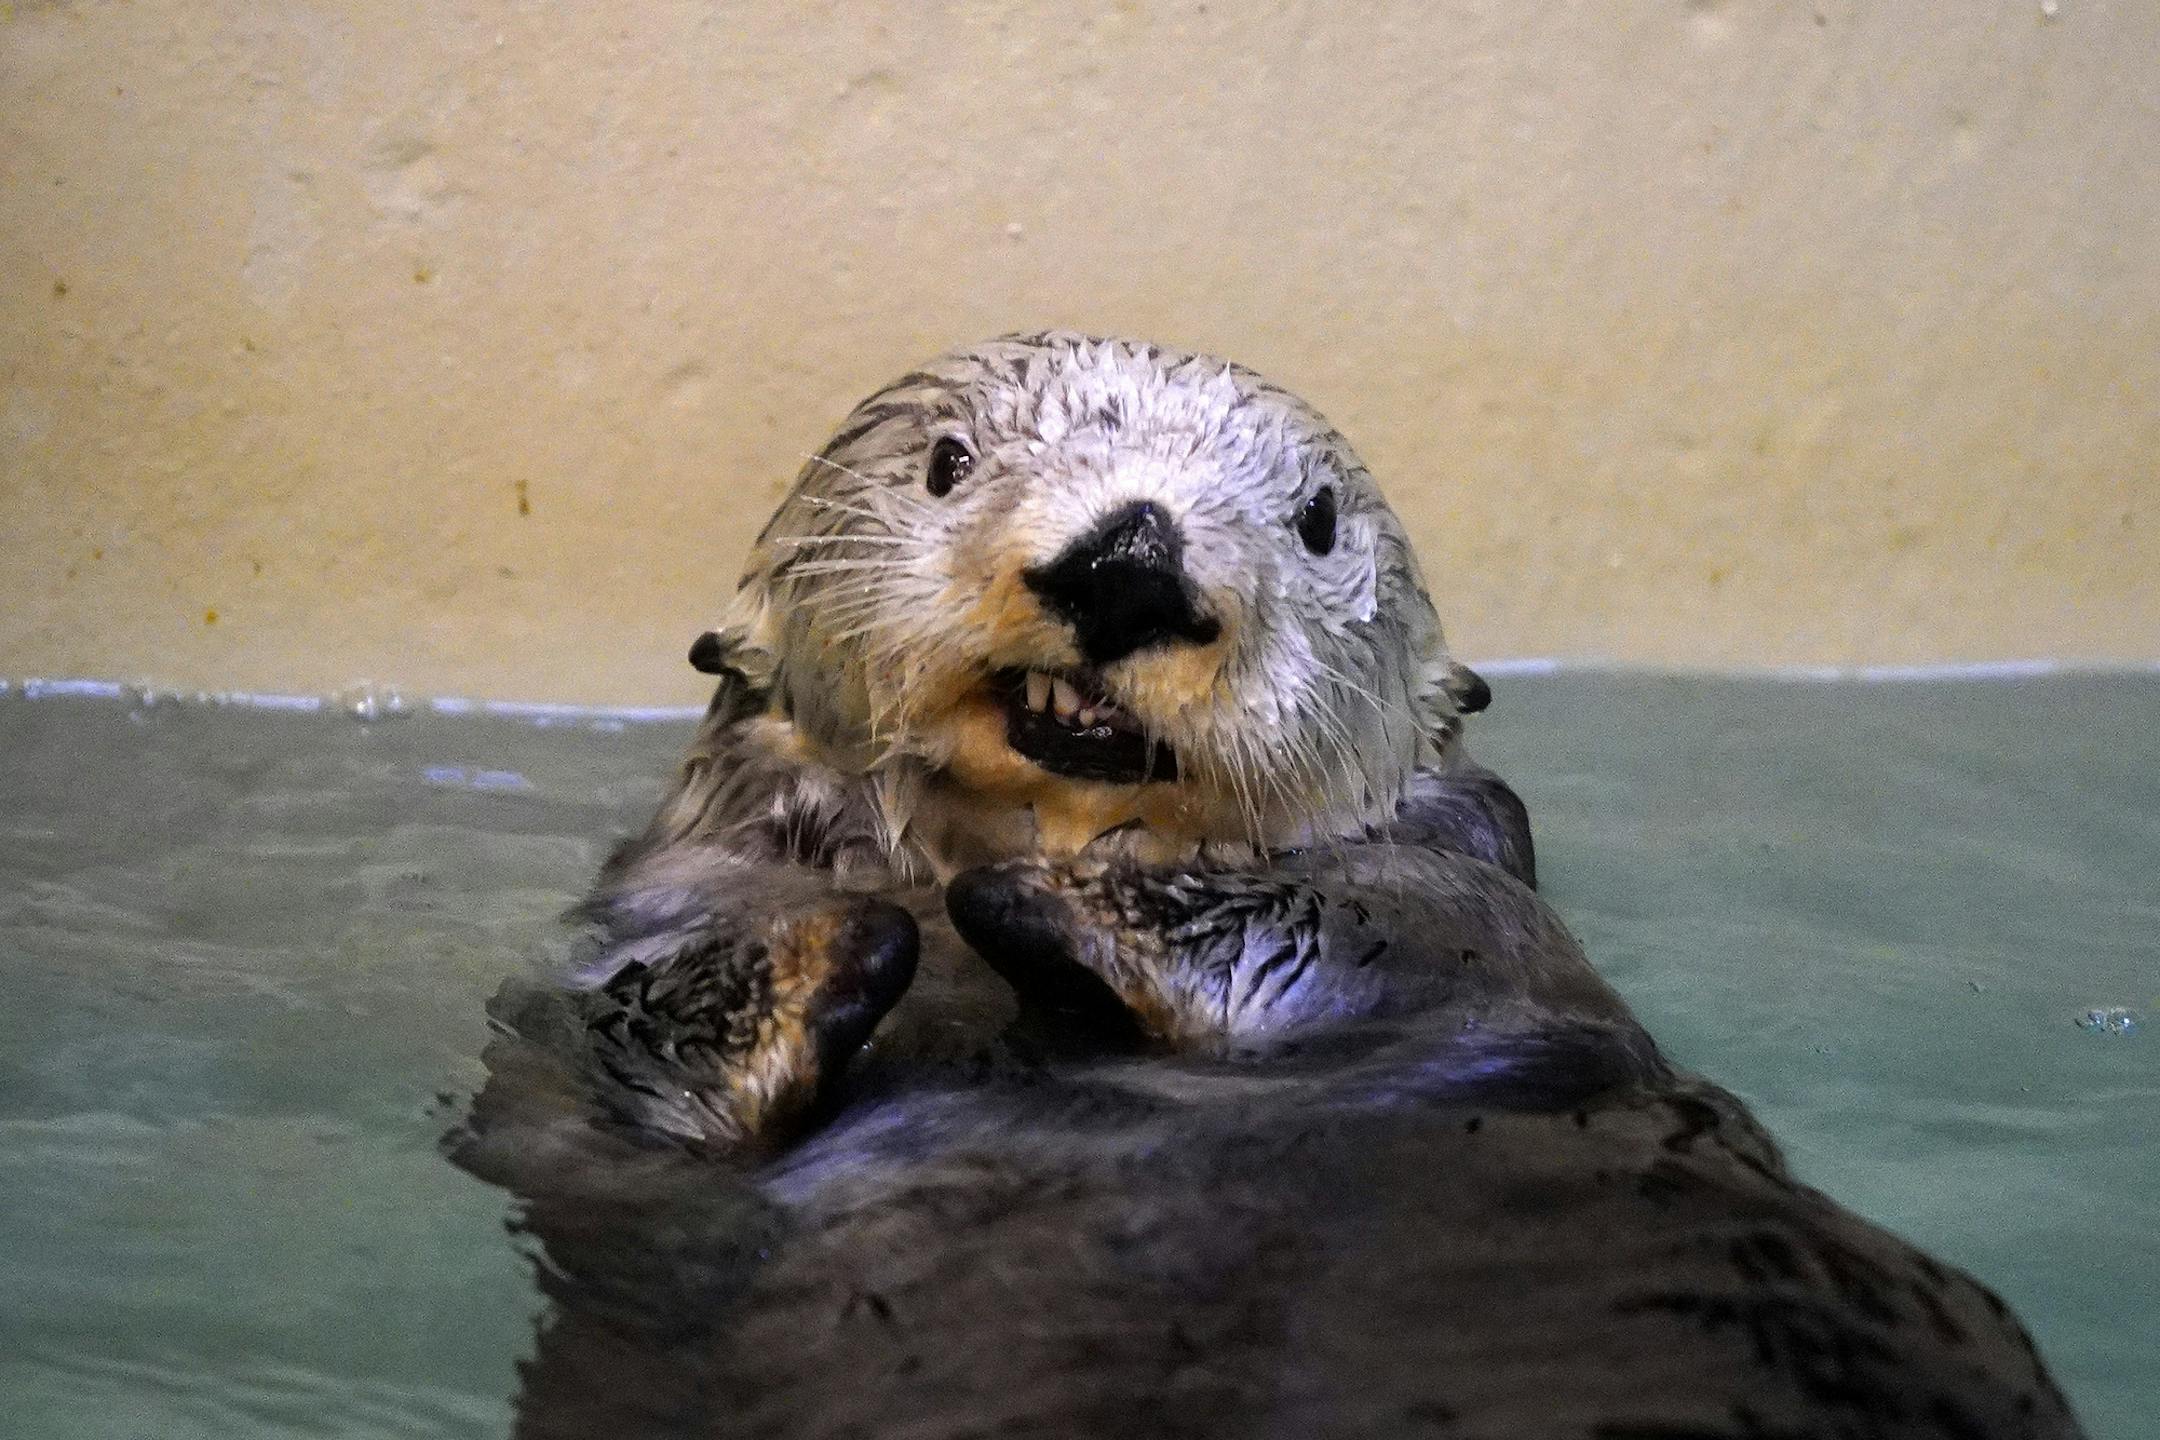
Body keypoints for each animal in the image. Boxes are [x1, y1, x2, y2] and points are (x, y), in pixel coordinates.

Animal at [450, 333, 2081, 1439]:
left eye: (1316, 520)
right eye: (945, 463)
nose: (1130, 561)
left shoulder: (1484, 909)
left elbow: (1403, 930)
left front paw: (1059, 905)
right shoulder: (600, 989)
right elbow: (604, 1071)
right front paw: (822, 952)